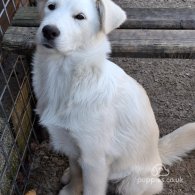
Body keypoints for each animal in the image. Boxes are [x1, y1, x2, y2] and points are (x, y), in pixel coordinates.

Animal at [32, 0, 195, 195]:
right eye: (51, 6)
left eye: (80, 16)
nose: (49, 31)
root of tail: (157, 154)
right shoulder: (71, 145)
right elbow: (76, 172)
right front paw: (71, 189)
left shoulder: (94, 161)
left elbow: (91, 189)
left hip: (132, 184)